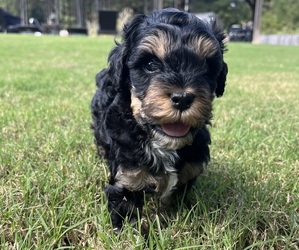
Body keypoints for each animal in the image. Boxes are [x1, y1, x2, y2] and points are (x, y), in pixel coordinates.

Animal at [90, 8, 229, 230]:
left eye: (207, 67)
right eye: (150, 64)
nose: (182, 98)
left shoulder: (188, 173)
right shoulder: (127, 177)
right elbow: (126, 213)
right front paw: (128, 233)